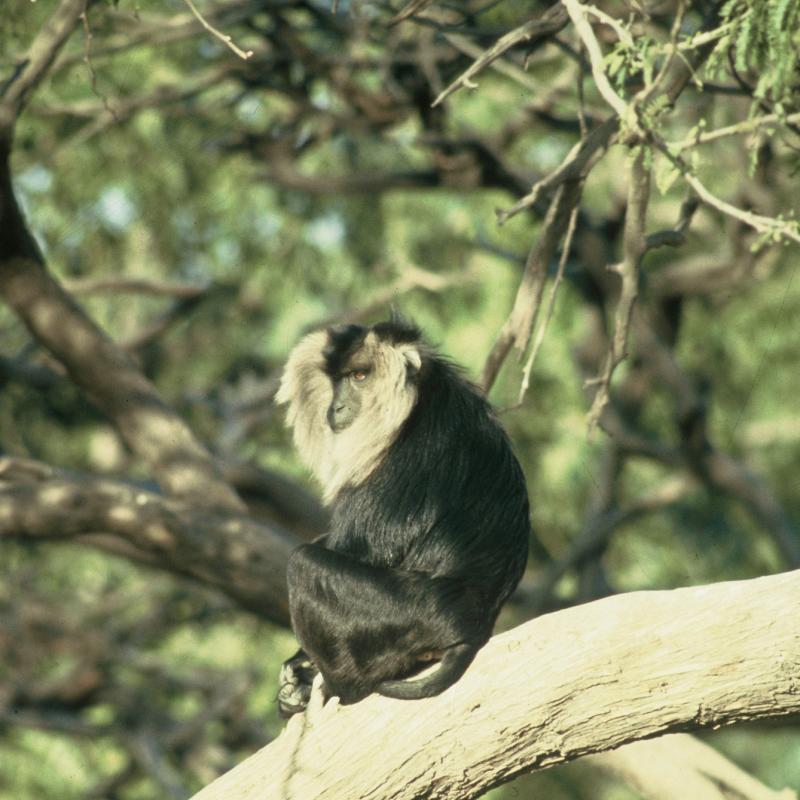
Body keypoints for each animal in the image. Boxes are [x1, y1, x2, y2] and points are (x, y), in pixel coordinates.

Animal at [275, 317, 530, 716]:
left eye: (359, 376)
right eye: (337, 379)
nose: (337, 407)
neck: (420, 398)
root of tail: (473, 624)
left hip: (406, 618)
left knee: (303, 564)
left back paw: (340, 688)